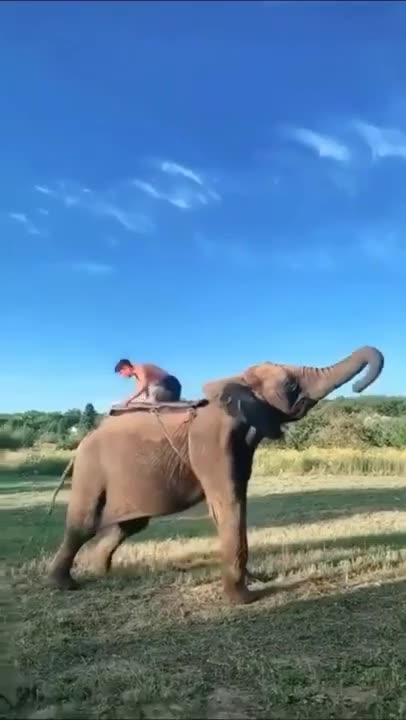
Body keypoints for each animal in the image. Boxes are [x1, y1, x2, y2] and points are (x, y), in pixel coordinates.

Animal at [48, 345, 383, 605]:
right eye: (290, 386)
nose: (358, 387)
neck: (236, 380)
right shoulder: (211, 440)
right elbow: (229, 502)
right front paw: (245, 599)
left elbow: (229, 502)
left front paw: (254, 581)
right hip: (90, 469)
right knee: (84, 523)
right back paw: (65, 585)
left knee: (130, 524)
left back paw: (101, 573)